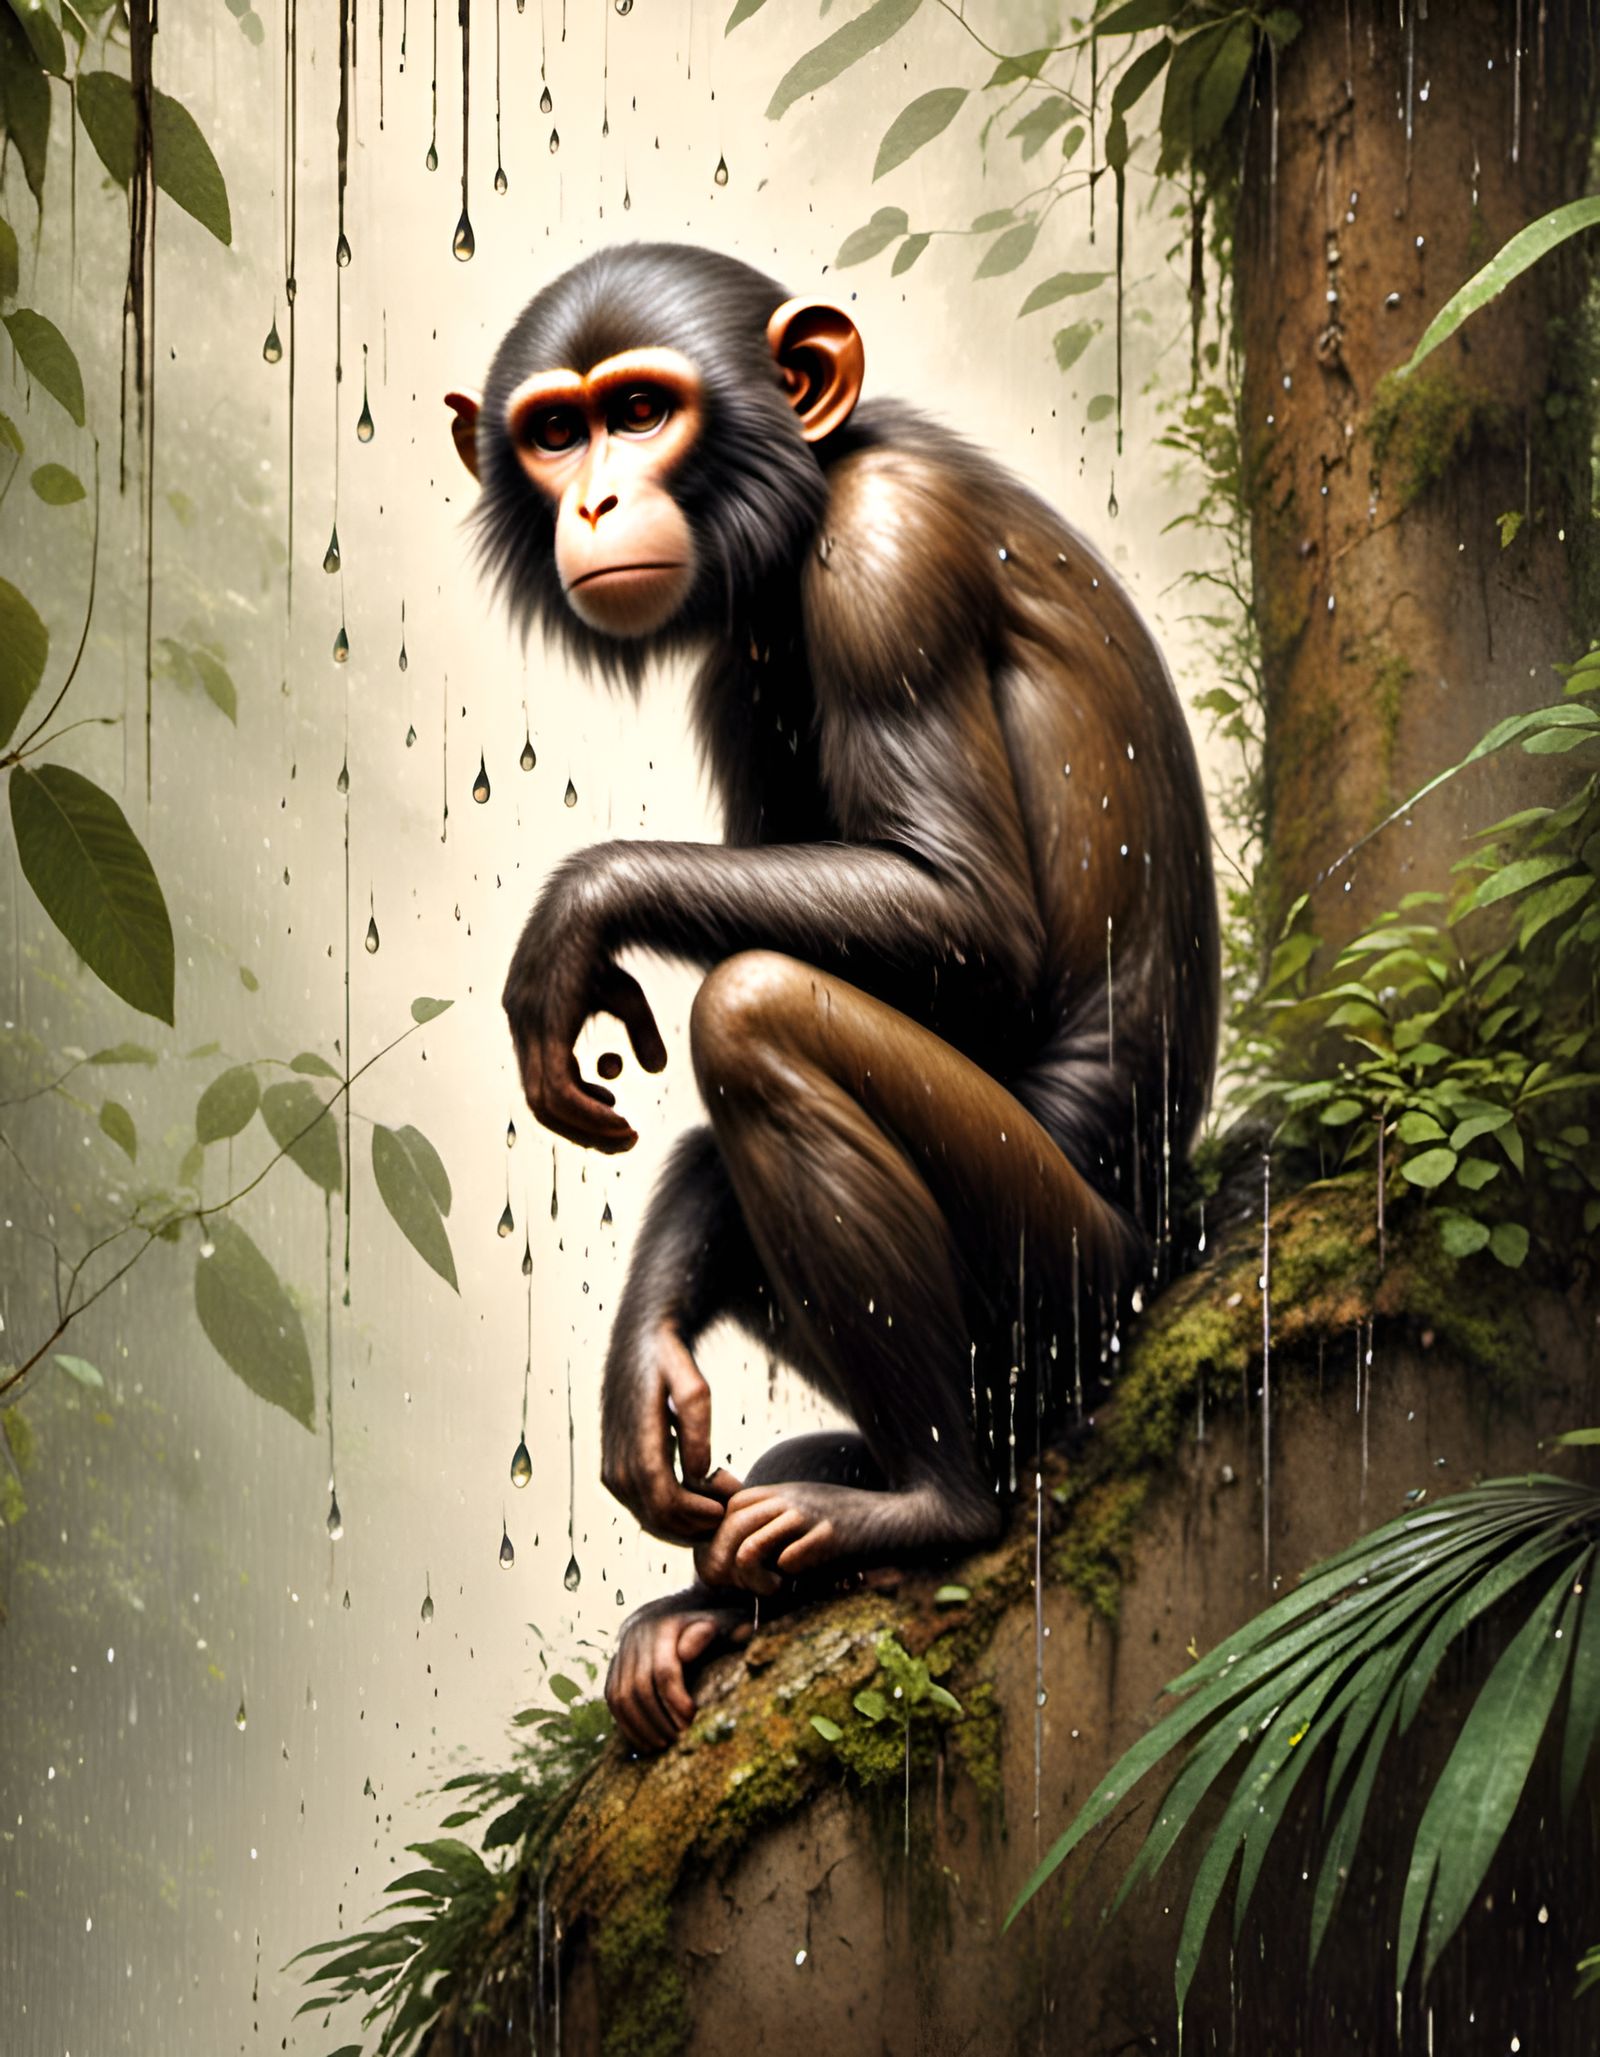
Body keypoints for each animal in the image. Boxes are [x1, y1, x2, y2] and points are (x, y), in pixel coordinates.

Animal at [445, 242, 1219, 1753]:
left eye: (641, 410)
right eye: (556, 430)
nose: (596, 496)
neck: (809, 495)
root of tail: (1168, 1252)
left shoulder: (884, 564)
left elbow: (959, 913)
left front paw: (578, 911)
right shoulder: (738, 675)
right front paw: (644, 1375)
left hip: (1068, 1288)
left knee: (758, 1010)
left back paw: (922, 1503)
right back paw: (715, 1587)